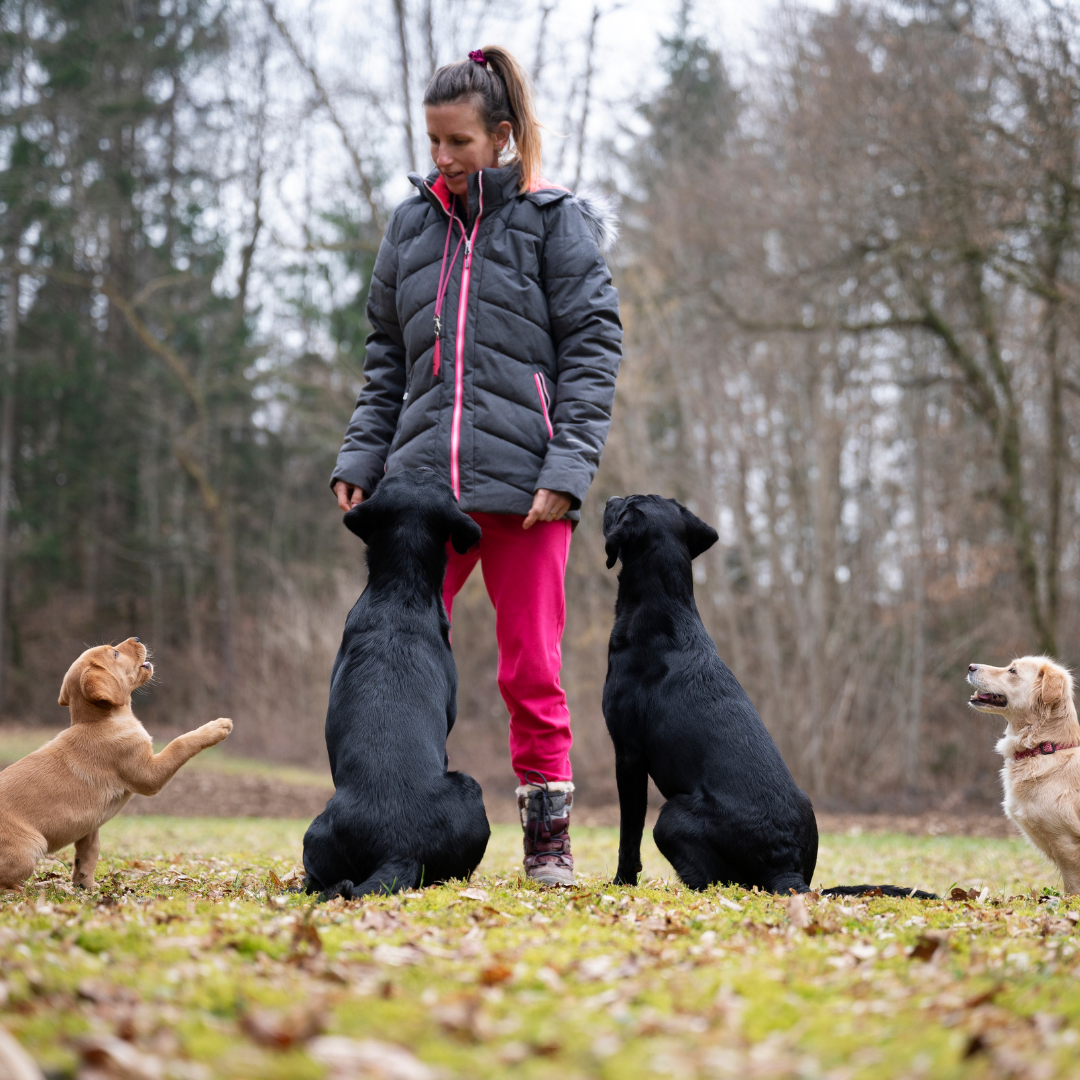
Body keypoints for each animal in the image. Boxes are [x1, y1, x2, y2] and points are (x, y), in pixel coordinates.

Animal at [0, 635, 232, 889]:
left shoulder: (90, 824)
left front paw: (85, 886)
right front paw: (217, 727)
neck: (98, 720)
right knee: (9, 884)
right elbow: (180, 743)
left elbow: (89, 852)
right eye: (115, 654)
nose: (137, 638)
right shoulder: (148, 774)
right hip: (31, 848)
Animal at [600, 494, 937, 898]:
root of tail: (787, 872)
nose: (609, 498)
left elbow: (628, 836)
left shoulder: (629, 754)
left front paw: (621, 883)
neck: (664, 611)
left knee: (710, 881)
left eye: (627, 503)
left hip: (670, 817)